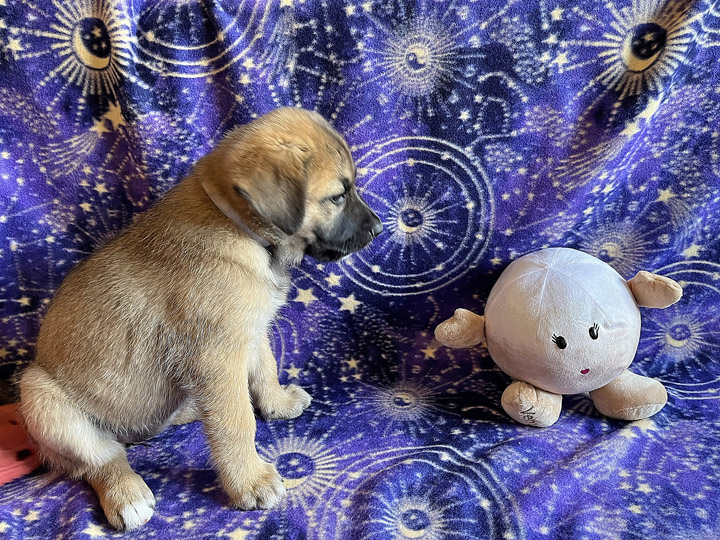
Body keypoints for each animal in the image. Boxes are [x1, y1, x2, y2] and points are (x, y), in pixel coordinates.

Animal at [16, 107, 382, 528]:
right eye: (338, 196)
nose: (379, 229)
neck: (238, 228)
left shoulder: (250, 332)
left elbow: (265, 369)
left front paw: (277, 403)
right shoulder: (217, 357)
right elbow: (237, 422)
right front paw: (250, 482)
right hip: (42, 399)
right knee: (101, 458)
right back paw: (126, 493)